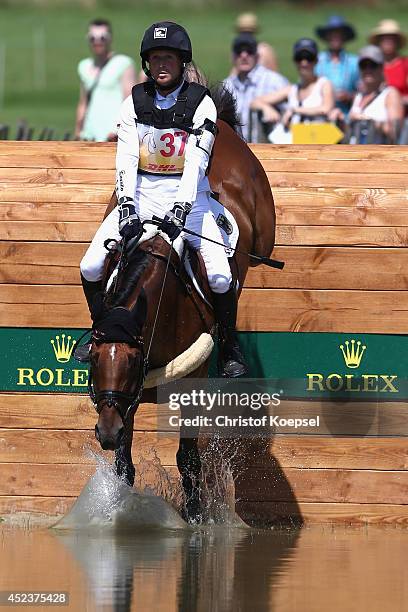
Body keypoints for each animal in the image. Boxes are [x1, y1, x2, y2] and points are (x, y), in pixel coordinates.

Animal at [87, 89, 276, 520]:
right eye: (94, 361)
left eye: (131, 362)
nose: (106, 432)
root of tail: (223, 126)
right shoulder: (127, 401)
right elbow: (124, 463)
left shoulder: (189, 383)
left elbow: (188, 458)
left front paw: (195, 519)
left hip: (259, 240)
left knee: (235, 276)